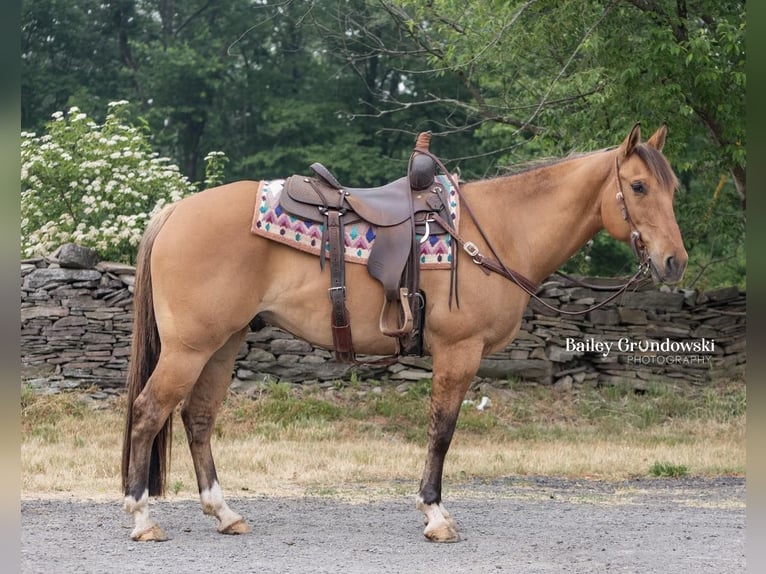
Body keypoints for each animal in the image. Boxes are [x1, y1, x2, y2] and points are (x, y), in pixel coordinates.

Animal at [121, 125, 688, 544]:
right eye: (639, 186)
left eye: (673, 188)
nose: (674, 261)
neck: (498, 232)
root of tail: (175, 211)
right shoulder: (459, 352)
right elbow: (442, 430)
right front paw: (435, 515)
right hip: (190, 348)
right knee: (149, 412)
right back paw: (143, 518)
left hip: (224, 342)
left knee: (197, 418)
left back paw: (225, 513)